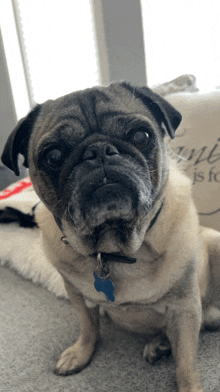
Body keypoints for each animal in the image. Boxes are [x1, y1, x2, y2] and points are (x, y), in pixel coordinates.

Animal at [1, 81, 220, 390]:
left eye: (141, 136)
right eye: (53, 156)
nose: (99, 151)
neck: (113, 248)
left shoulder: (185, 307)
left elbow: (186, 364)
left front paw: (190, 385)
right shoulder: (77, 295)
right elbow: (89, 327)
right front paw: (80, 353)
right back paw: (161, 344)